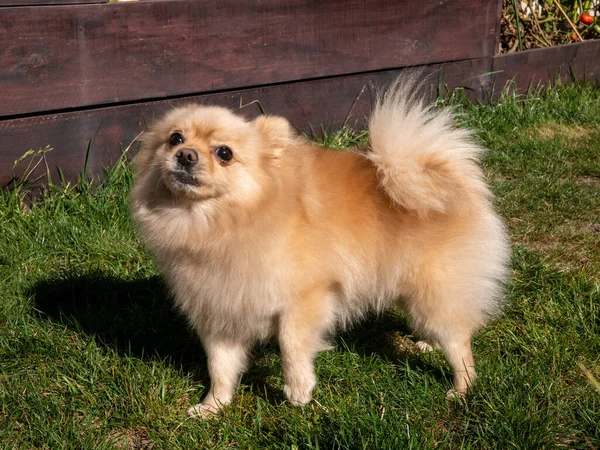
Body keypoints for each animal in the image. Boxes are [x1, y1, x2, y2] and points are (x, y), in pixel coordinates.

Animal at [129, 77, 508, 418]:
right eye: (175, 138)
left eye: (224, 153)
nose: (185, 155)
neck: (217, 226)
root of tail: (451, 181)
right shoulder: (221, 310)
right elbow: (220, 367)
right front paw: (213, 406)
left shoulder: (305, 298)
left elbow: (291, 344)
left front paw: (298, 390)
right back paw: (430, 344)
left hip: (435, 288)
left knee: (459, 341)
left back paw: (461, 389)